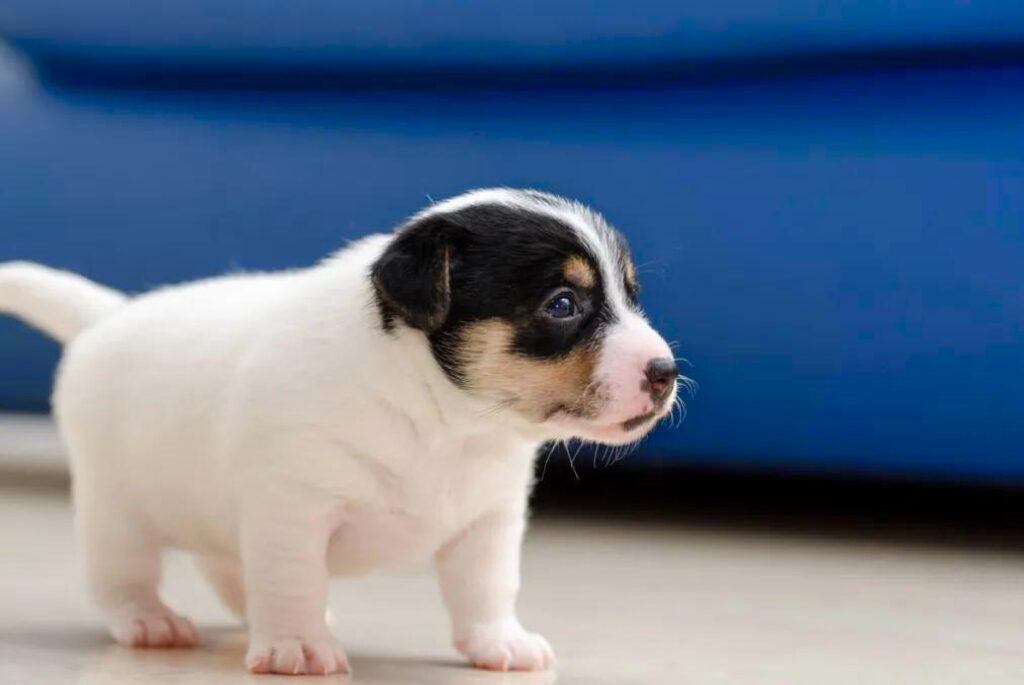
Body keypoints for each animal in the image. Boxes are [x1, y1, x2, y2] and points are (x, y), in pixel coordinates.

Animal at [2, 189, 688, 675]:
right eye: (562, 305)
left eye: (631, 296)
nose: (666, 373)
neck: (447, 423)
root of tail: (106, 317)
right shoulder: (293, 511)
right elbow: (292, 579)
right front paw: (299, 646)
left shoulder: (488, 523)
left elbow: (488, 588)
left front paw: (499, 642)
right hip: (116, 512)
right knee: (120, 577)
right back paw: (150, 620)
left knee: (227, 567)